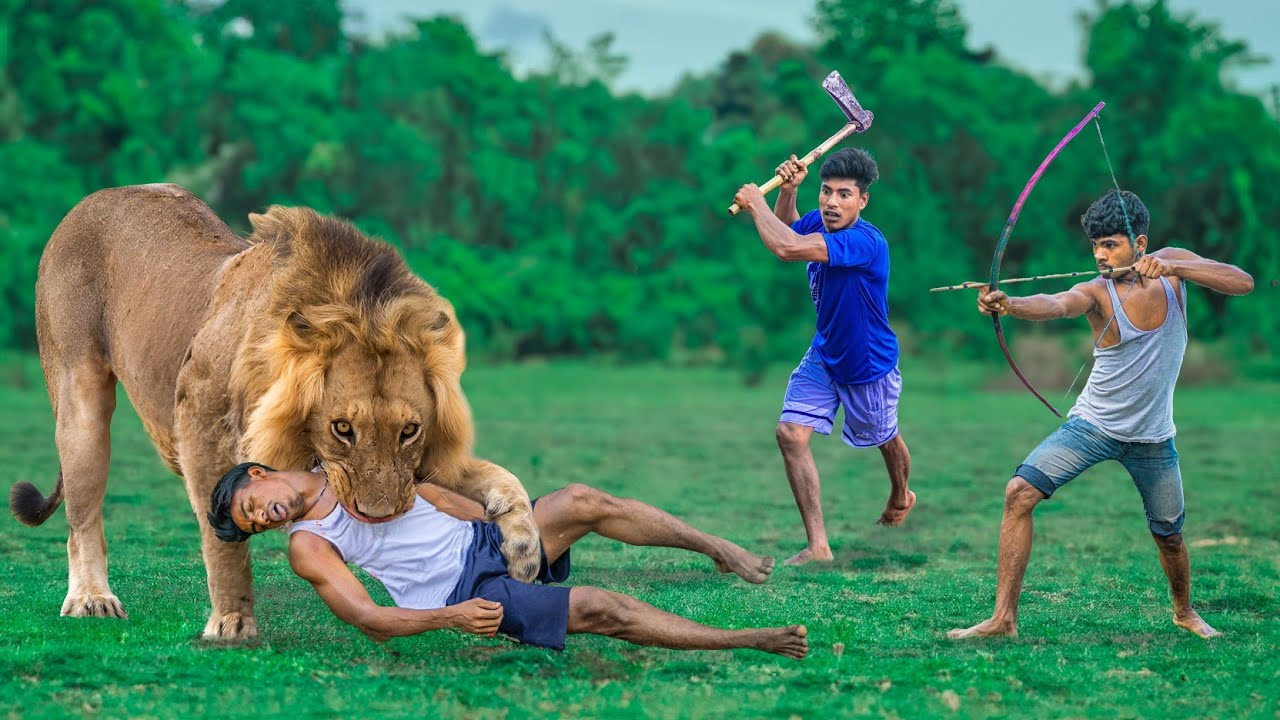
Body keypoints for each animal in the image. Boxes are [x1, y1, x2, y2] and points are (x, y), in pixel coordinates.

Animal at [10, 184, 541, 639]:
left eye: (410, 430)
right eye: (342, 428)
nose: (379, 517)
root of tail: (97, 196)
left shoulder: (422, 465)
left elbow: (501, 476)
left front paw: (524, 551)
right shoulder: (200, 422)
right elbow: (223, 543)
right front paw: (232, 623)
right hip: (80, 403)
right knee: (81, 517)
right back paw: (91, 598)